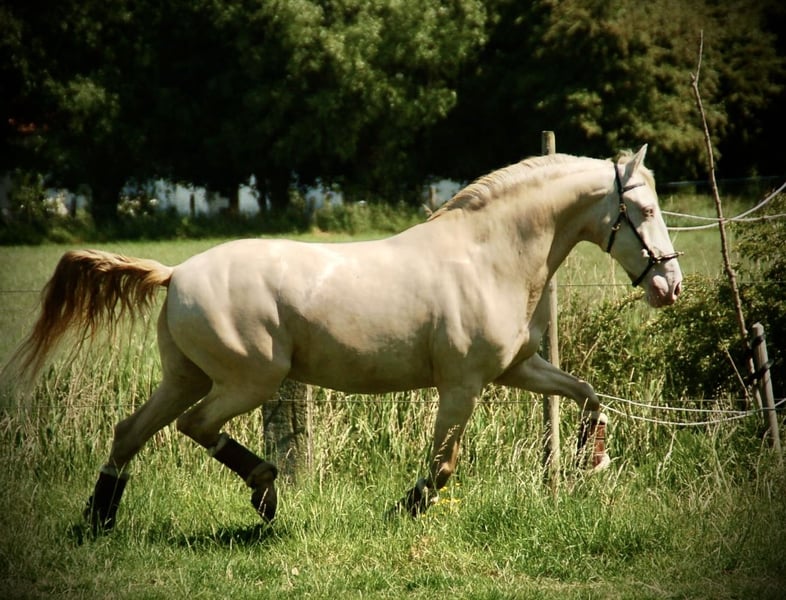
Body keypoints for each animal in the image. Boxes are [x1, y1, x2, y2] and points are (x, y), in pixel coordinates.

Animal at [10, 145, 682, 533]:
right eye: (645, 211)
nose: (669, 285)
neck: (489, 256)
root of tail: (175, 273)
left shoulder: (517, 369)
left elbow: (588, 393)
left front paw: (591, 460)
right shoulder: (462, 385)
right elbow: (441, 467)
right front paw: (403, 510)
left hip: (187, 375)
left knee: (131, 432)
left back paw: (100, 521)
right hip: (248, 380)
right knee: (193, 427)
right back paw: (266, 496)